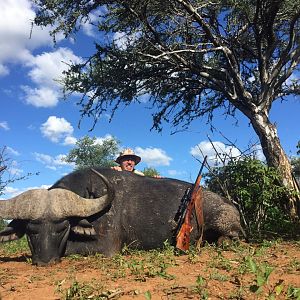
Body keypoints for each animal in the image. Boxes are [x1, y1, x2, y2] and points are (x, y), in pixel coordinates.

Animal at [0, 169, 244, 264]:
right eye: (30, 231)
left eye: (62, 228)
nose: (44, 261)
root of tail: (230, 205)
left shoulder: (106, 247)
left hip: (224, 223)